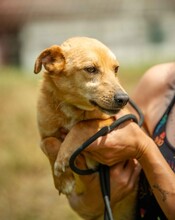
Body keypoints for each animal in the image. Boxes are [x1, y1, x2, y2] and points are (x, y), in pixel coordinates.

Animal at [33, 37, 135, 219]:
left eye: (116, 69)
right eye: (91, 69)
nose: (124, 99)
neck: (72, 108)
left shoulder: (118, 121)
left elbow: (83, 124)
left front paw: (64, 154)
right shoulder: (45, 135)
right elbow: (49, 143)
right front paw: (63, 180)